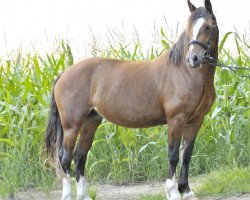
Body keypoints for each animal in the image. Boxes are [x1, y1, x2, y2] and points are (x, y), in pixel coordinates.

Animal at [45, 0, 219, 199]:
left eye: (207, 27)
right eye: (189, 28)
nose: (193, 59)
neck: (185, 73)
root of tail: (64, 73)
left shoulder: (195, 121)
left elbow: (186, 155)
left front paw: (187, 192)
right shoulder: (176, 119)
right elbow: (173, 155)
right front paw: (173, 192)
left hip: (91, 122)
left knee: (79, 157)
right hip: (72, 126)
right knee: (65, 160)